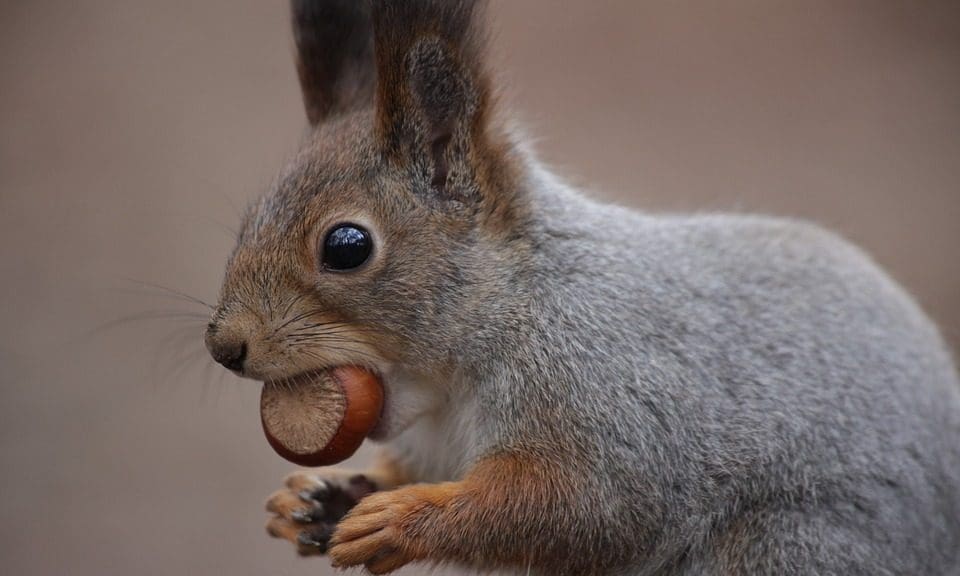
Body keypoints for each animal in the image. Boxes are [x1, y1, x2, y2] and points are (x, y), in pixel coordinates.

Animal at [203, 1, 960, 574]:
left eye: (347, 246)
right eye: (249, 218)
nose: (224, 347)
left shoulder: (606, 394)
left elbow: (580, 506)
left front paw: (403, 519)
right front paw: (318, 499)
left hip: (794, 546)